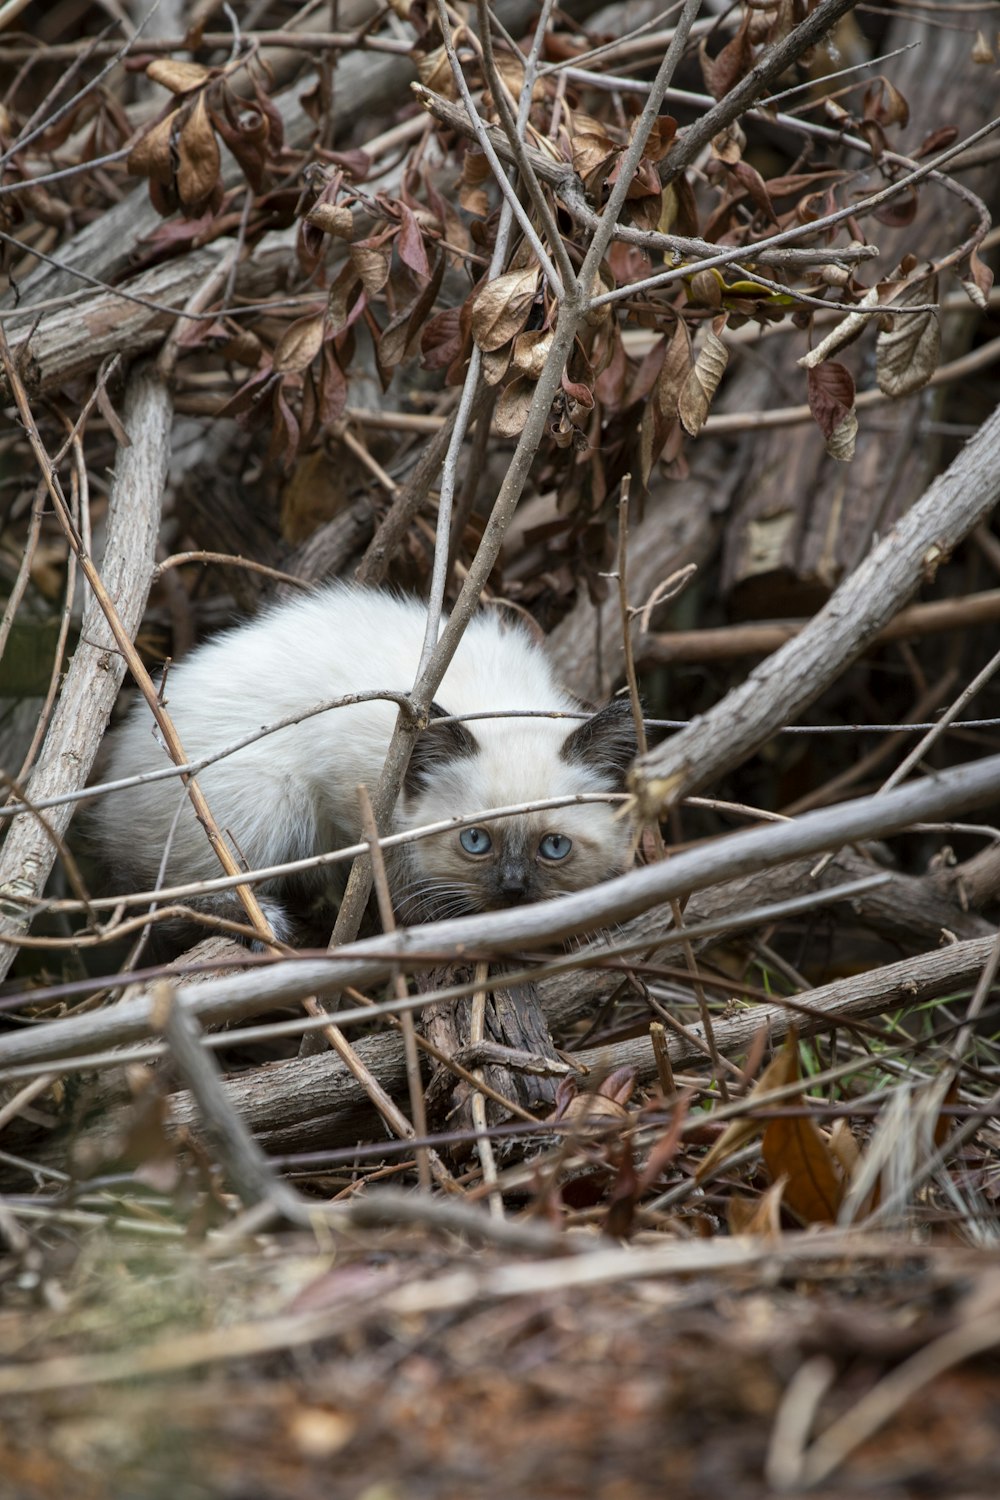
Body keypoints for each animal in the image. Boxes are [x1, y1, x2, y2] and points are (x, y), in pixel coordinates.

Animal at [97, 582, 638, 942]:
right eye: (475, 841)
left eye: (554, 847)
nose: (513, 889)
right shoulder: (346, 781)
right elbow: (382, 858)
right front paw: (414, 908)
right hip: (272, 800)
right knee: (156, 890)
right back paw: (266, 918)